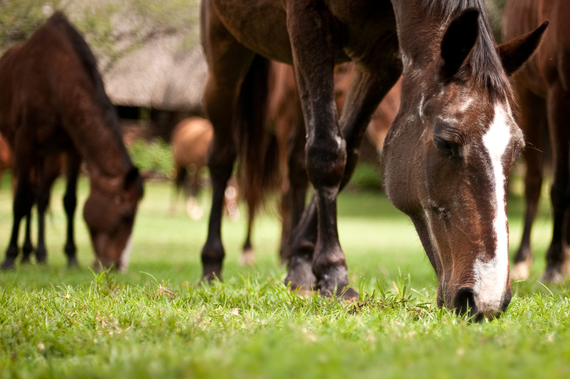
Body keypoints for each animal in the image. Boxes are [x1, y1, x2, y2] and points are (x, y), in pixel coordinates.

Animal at [0, 12, 143, 270]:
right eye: (127, 214)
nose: (116, 264)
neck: (55, 76)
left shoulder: (73, 148)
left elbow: (70, 201)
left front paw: (71, 255)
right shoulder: (24, 141)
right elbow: (21, 199)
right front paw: (9, 256)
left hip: (48, 155)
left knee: (41, 197)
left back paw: (36, 253)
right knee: (28, 194)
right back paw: (23, 253)